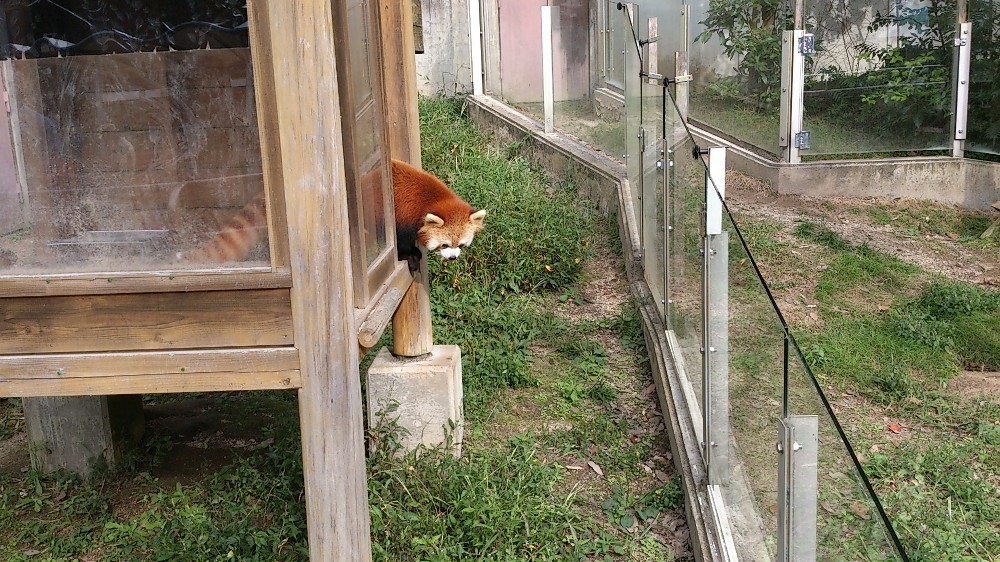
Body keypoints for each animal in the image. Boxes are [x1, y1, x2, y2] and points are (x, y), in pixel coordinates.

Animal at [182, 160, 486, 270]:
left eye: (461, 244)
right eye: (444, 244)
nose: (453, 257)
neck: (431, 199)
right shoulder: (403, 216)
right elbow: (400, 241)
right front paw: (409, 255)